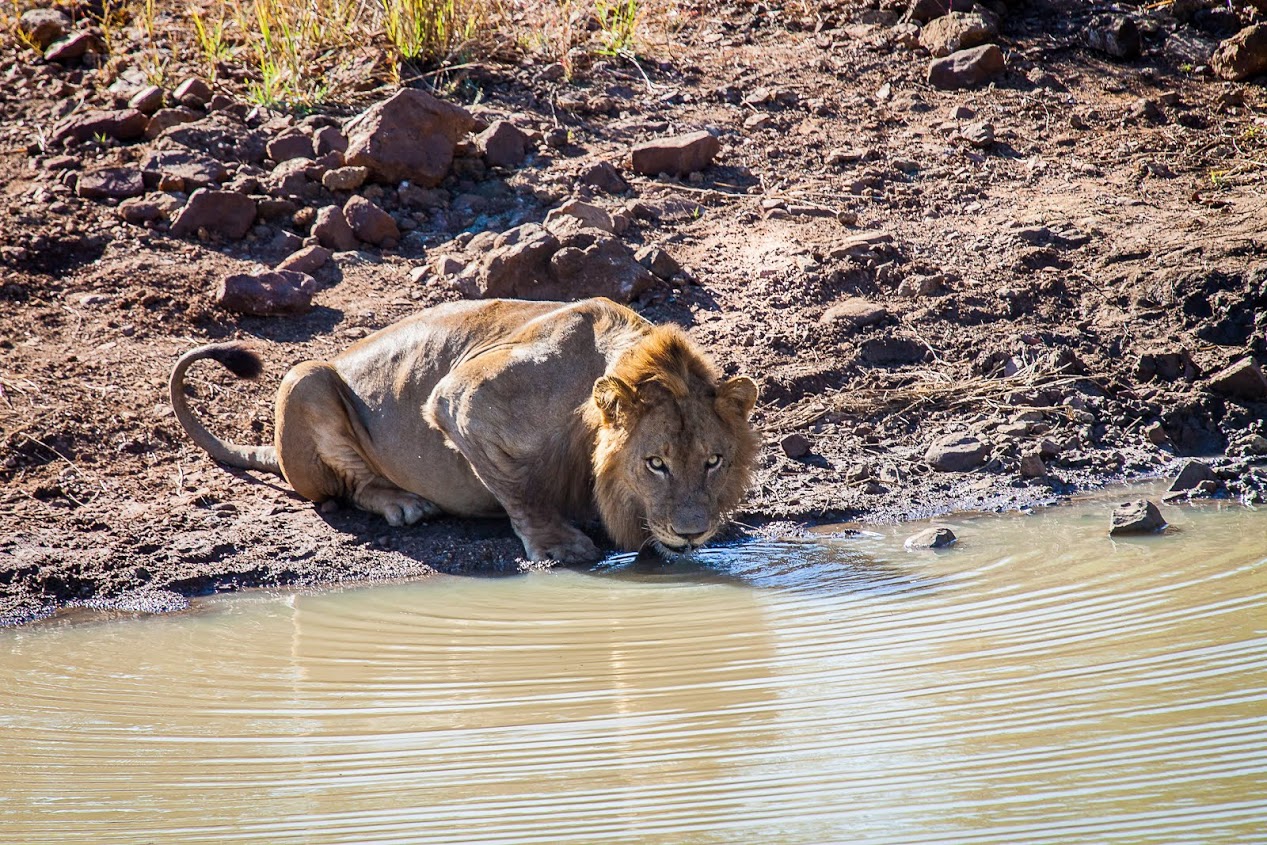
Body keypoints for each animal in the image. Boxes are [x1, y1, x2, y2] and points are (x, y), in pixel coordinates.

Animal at [169, 297, 759, 562]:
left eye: (713, 461)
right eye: (655, 463)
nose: (692, 532)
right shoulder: (461, 399)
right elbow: (520, 487)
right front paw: (558, 543)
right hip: (305, 378)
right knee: (351, 486)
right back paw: (403, 504)